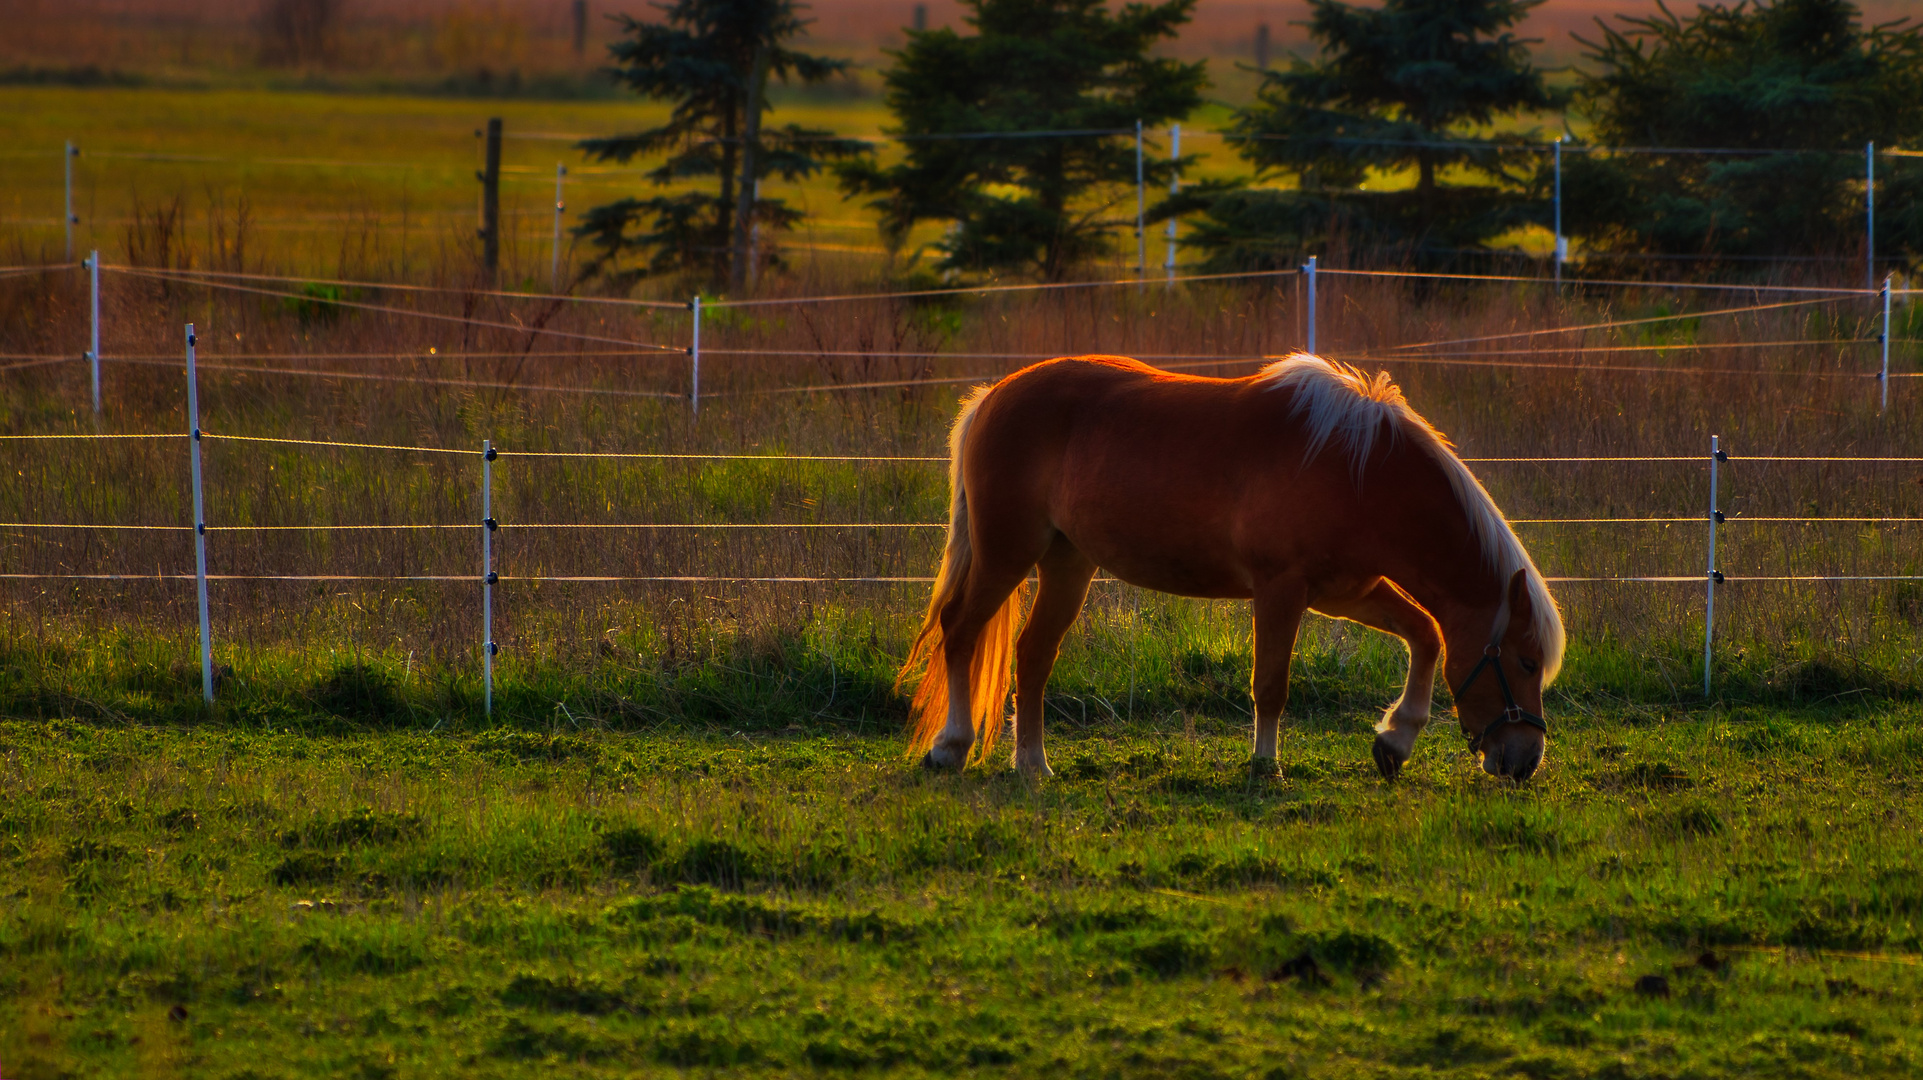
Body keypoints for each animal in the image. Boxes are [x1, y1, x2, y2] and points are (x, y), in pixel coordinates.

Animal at [899, 357, 1561, 776]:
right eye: (1526, 662)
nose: (1526, 760)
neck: (1358, 468)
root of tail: (992, 396)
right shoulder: (1280, 591)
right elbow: (1270, 684)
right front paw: (1266, 765)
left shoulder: (1344, 590)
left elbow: (1425, 633)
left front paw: (1394, 741)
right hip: (1006, 552)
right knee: (960, 632)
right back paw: (951, 747)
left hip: (1067, 562)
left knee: (1032, 654)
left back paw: (1033, 765)